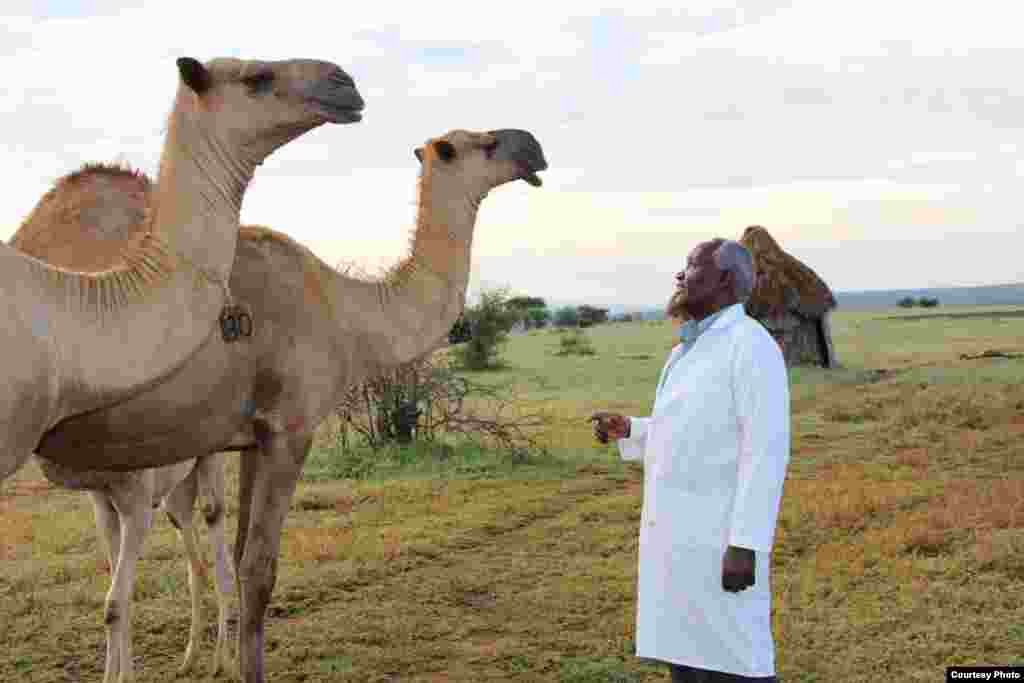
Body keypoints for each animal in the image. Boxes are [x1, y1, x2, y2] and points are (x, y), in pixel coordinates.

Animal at [14, 129, 544, 683]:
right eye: (482, 143)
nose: (533, 145)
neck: (345, 310)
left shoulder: (251, 436)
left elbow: (237, 550)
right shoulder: (292, 429)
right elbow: (259, 571)